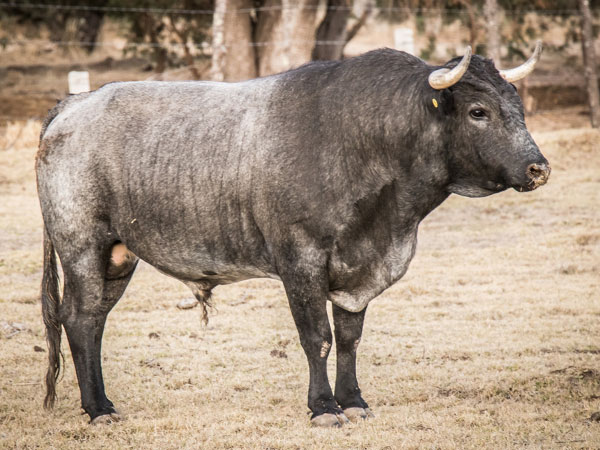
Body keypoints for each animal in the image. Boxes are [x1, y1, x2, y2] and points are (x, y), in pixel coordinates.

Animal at [36, 44, 548, 428]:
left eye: (518, 107)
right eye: (479, 111)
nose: (538, 168)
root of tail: (76, 104)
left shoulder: (358, 271)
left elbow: (349, 338)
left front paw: (354, 401)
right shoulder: (300, 261)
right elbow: (316, 337)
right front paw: (323, 407)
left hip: (118, 256)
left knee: (94, 322)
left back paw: (102, 402)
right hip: (82, 246)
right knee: (79, 319)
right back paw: (97, 409)